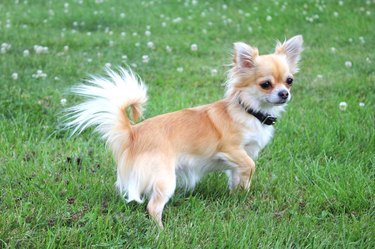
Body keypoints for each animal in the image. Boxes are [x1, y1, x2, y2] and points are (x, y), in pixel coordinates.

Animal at [66, 35, 304, 228]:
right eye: (266, 84)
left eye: (289, 81)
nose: (284, 93)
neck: (249, 111)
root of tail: (133, 133)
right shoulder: (232, 149)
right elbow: (250, 165)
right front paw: (242, 192)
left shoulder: (242, 156)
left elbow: (237, 174)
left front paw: (237, 194)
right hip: (165, 178)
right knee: (153, 207)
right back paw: (161, 231)